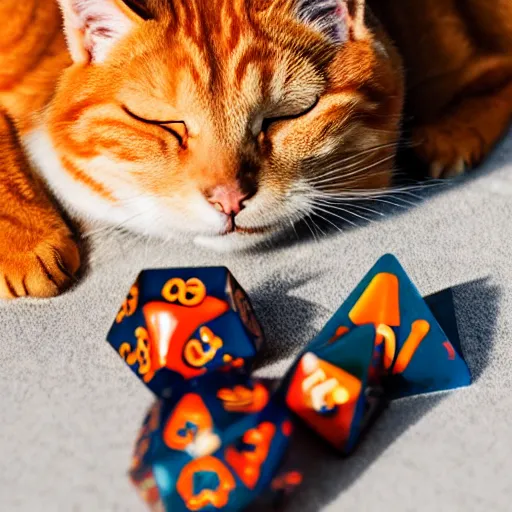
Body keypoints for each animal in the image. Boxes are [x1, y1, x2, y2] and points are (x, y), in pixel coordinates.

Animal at [0, 0, 510, 298]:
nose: (229, 199)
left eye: (285, 115)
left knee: (493, 65)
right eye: (165, 124)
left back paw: (450, 134)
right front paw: (26, 244)